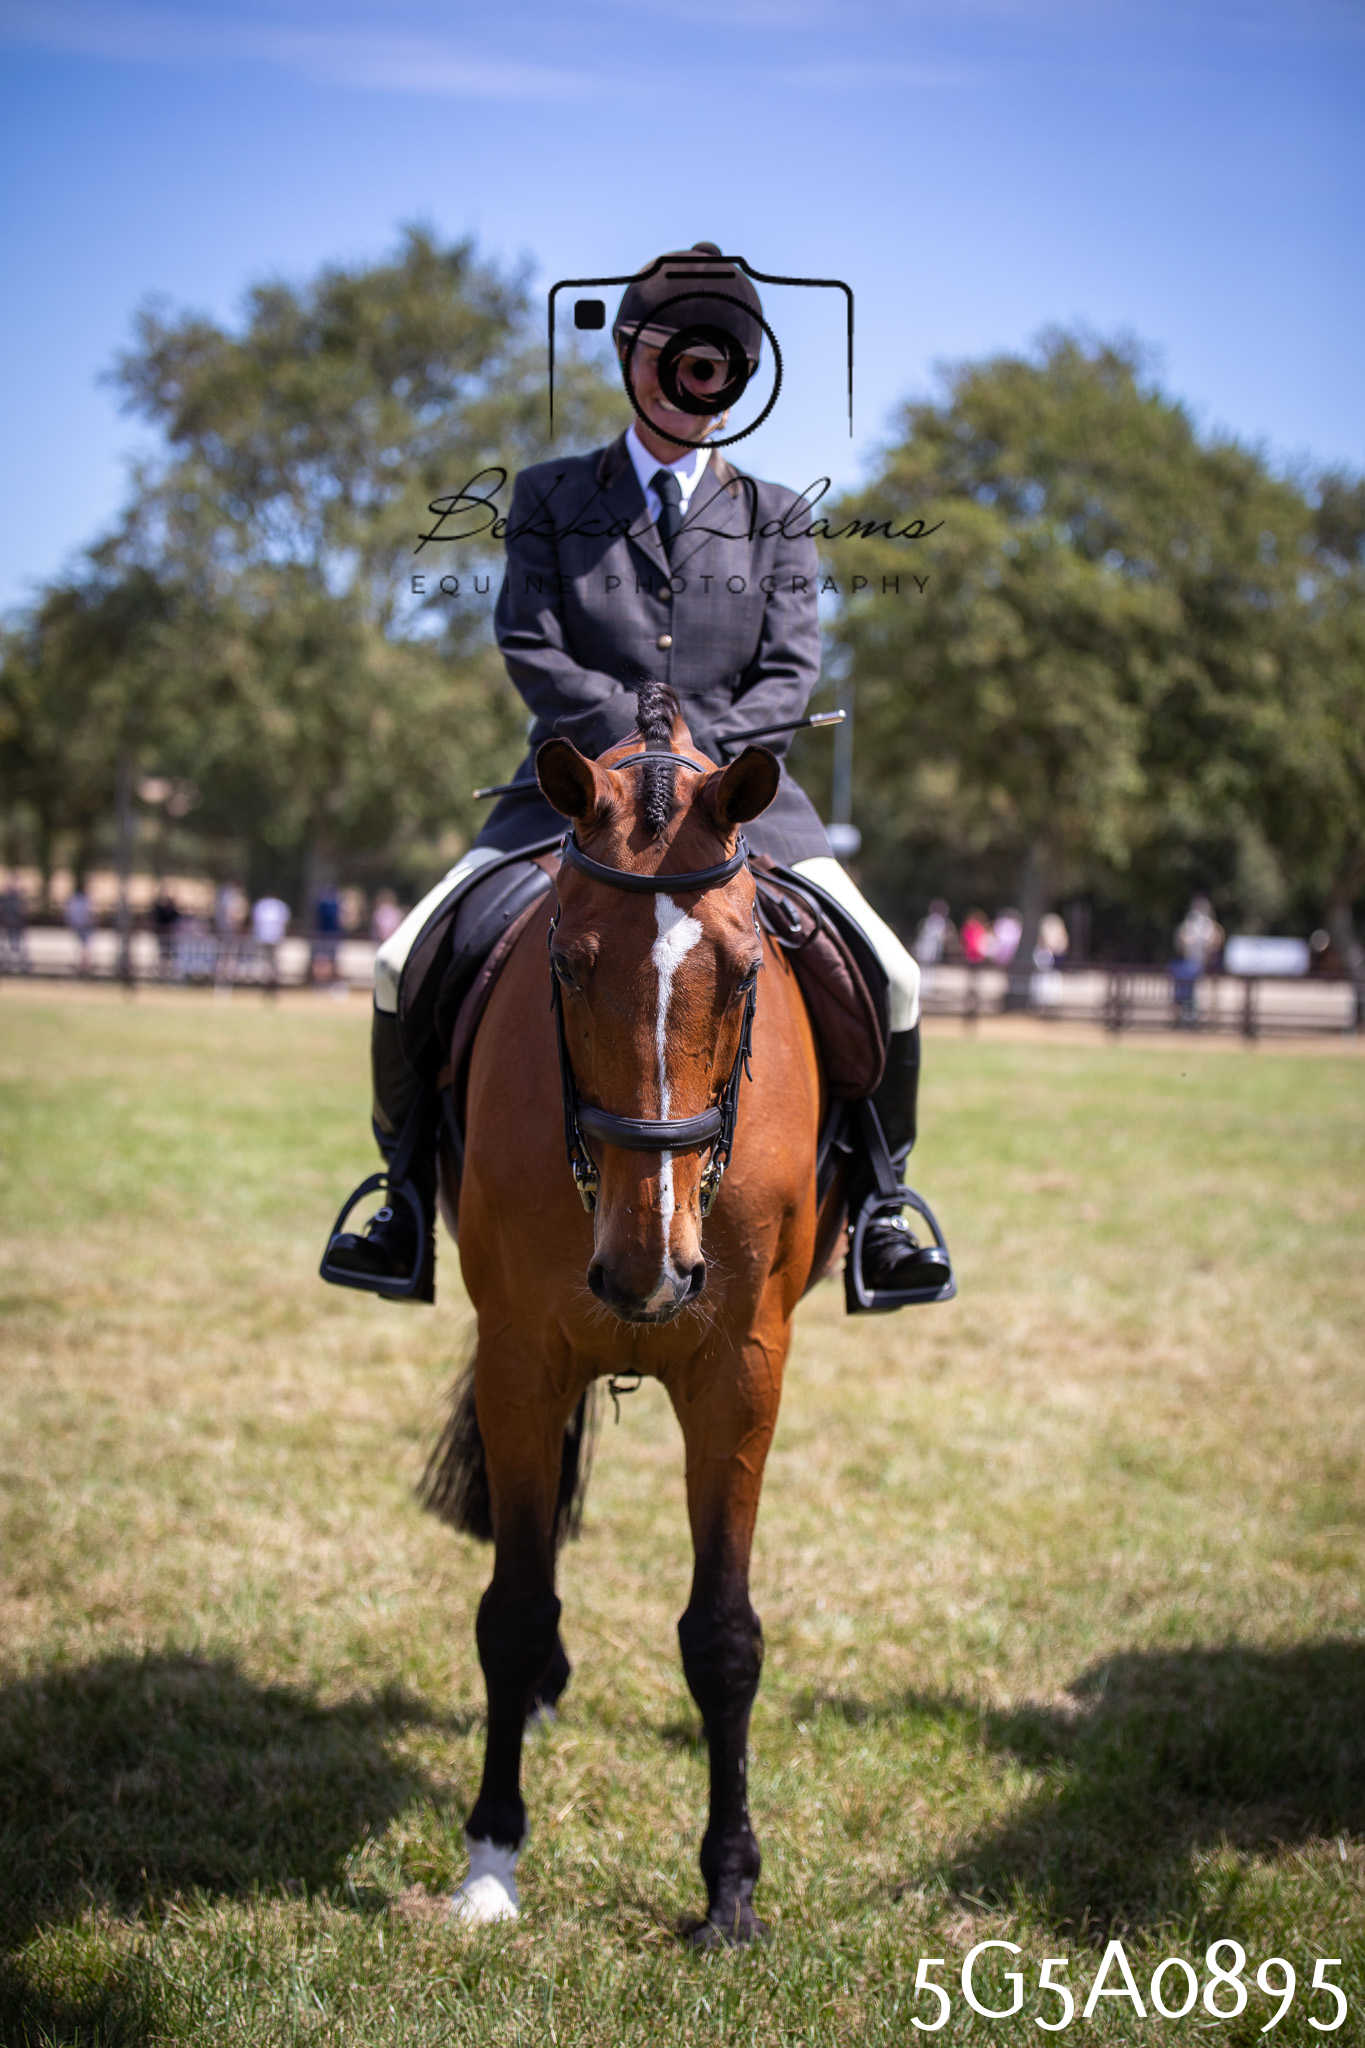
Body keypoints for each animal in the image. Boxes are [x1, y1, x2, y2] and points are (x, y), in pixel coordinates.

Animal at [421, 684, 838, 1946]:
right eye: (565, 961)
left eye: (747, 973)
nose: (648, 1271)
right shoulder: (520, 1353)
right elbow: (511, 1607)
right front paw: (492, 1858)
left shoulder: (743, 1369)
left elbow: (724, 1633)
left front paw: (731, 1887)